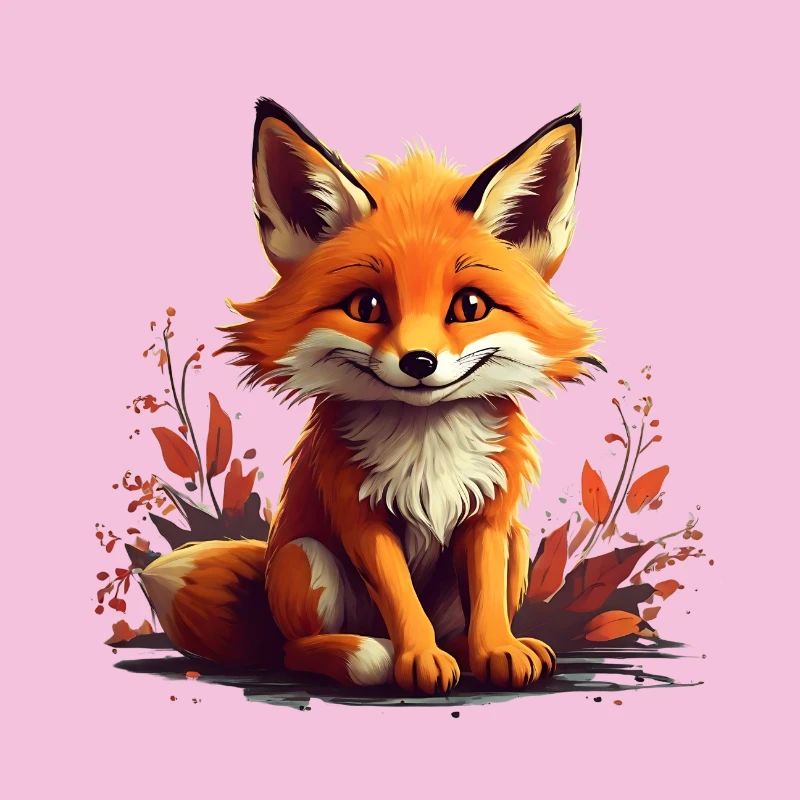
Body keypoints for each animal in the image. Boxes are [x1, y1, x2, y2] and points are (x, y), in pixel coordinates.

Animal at [140, 98, 599, 694]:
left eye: (470, 306)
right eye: (366, 306)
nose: (419, 362)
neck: (428, 445)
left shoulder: (489, 516)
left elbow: (488, 602)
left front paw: (496, 650)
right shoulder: (359, 515)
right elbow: (402, 601)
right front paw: (417, 660)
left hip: (517, 543)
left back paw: (468, 650)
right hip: (305, 558)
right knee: (294, 651)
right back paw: (364, 654)